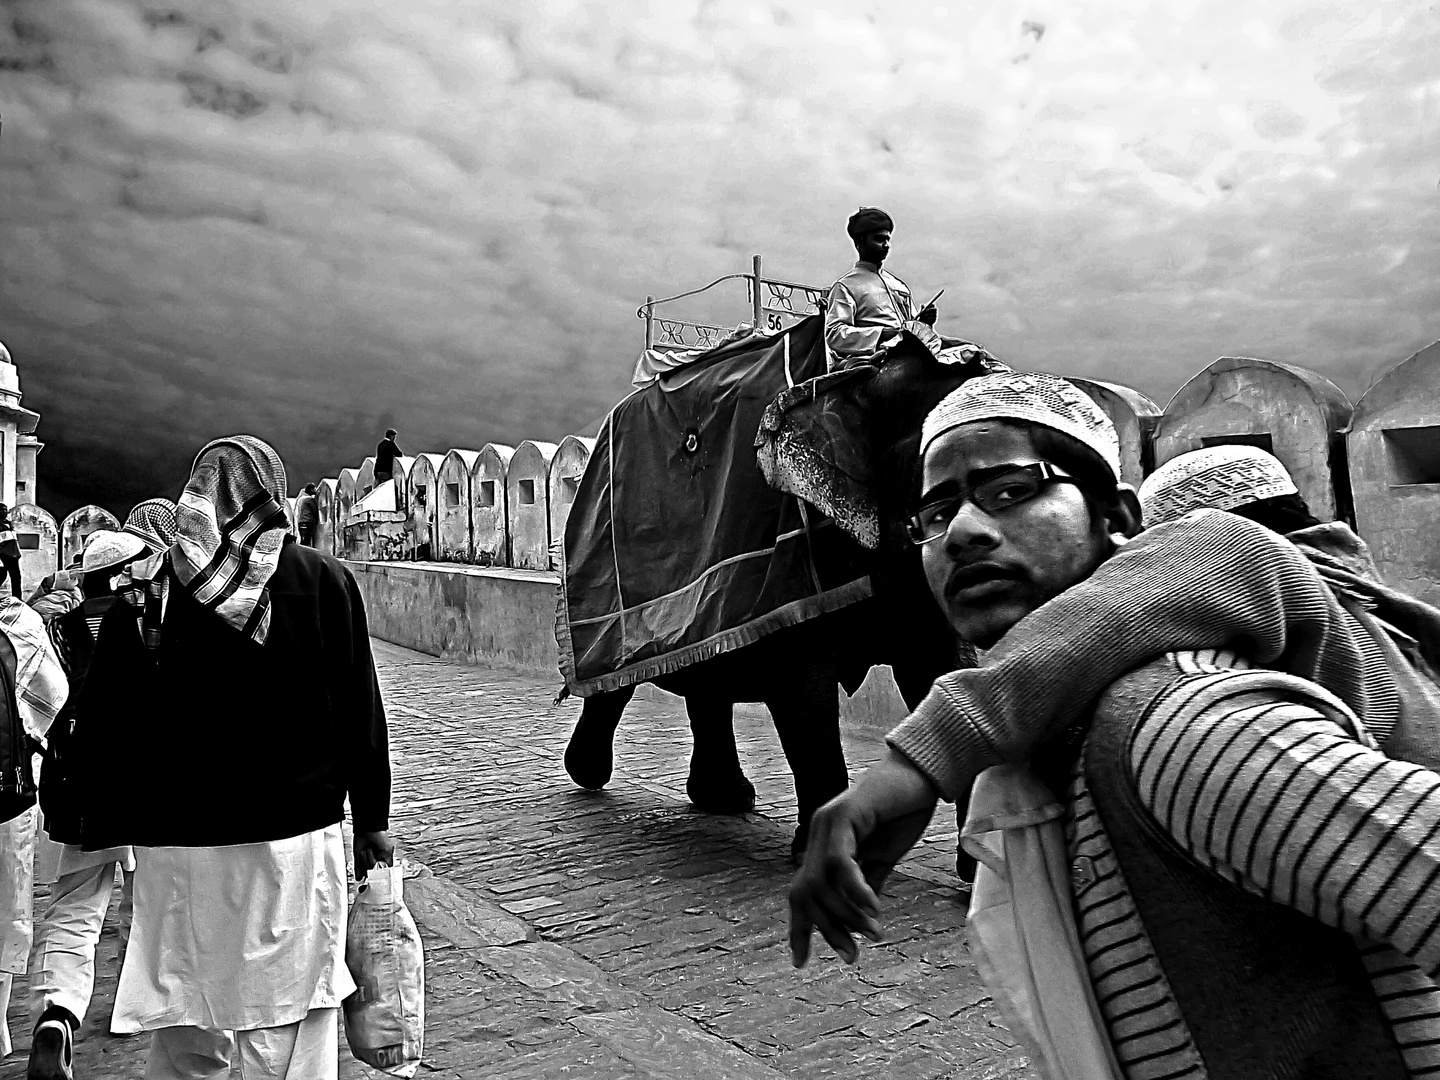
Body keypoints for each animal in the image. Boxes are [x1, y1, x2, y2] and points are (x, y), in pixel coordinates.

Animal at [555, 325, 996, 858]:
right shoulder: (795, 553)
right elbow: (805, 693)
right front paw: (820, 853)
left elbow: (938, 668)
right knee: (617, 685)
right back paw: (591, 774)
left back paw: (724, 800)